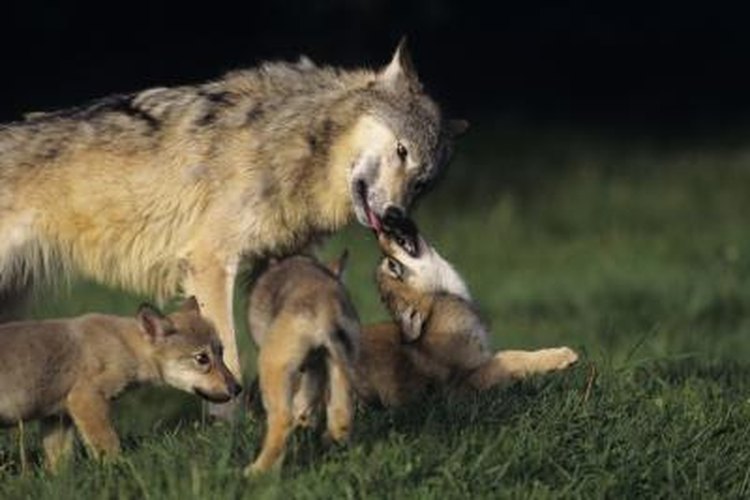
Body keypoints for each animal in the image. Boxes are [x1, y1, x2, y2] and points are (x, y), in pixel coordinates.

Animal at [0, 40, 464, 418]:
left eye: (422, 182)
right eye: (402, 150)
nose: (397, 218)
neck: (293, 140)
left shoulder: (276, 264)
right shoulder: (210, 264)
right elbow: (228, 357)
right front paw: (232, 431)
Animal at [0, 296, 241, 468]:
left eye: (221, 353)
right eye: (202, 358)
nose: (238, 388)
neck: (124, 343)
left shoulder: (58, 417)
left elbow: (59, 466)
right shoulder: (86, 399)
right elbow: (109, 447)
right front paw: (117, 471)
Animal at [242, 254, 356, 472]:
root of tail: (326, 308)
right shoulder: (316, 367)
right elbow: (306, 401)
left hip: (272, 366)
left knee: (282, 421)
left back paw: (257, 470)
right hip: (341, 367)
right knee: (341, 419)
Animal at [354, 214, 580, 406]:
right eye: (393, 266)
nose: (379, 226)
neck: (439, 299)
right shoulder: (461, 386)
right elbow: (510, 357)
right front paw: (561, 356)